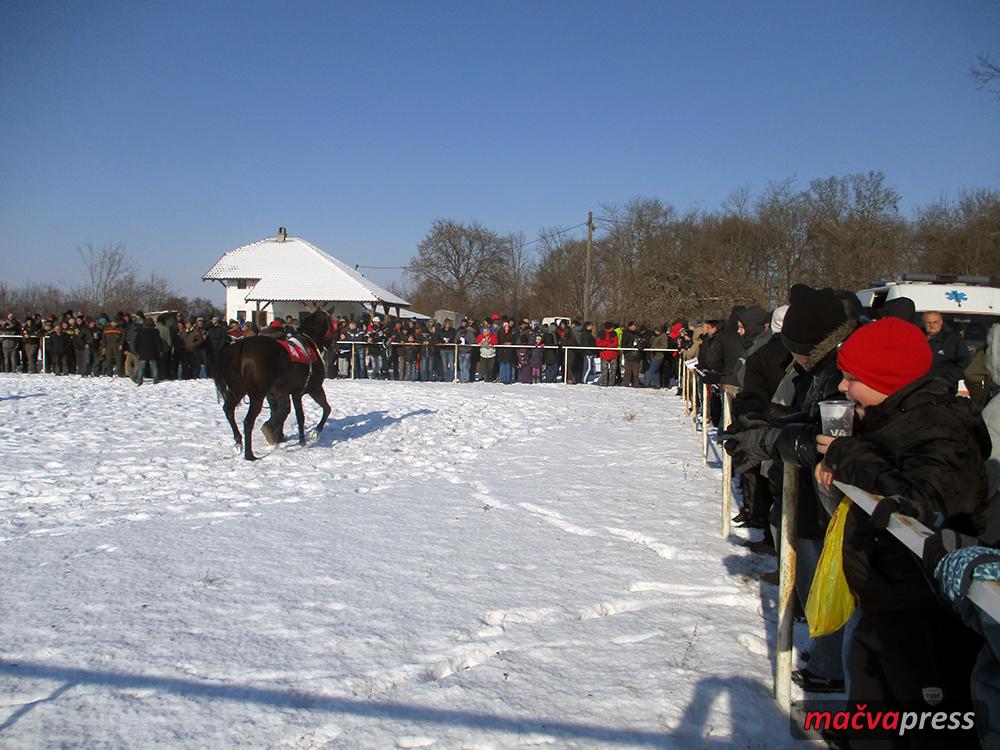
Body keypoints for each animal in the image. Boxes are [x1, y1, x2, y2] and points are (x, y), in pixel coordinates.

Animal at [213, 308, 334, 462]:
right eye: (332, 323)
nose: (331, 344)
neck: (309, 344)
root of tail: (241, 346)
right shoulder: (313, 389)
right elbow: (321, 410)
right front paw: (312, 434)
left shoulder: (295, 393)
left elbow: (302, 414)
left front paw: (304, 439)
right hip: (257, 395)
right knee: (248, 421)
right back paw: (249, 454)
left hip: (238, 390)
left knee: (228, 410)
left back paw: (239, 441)